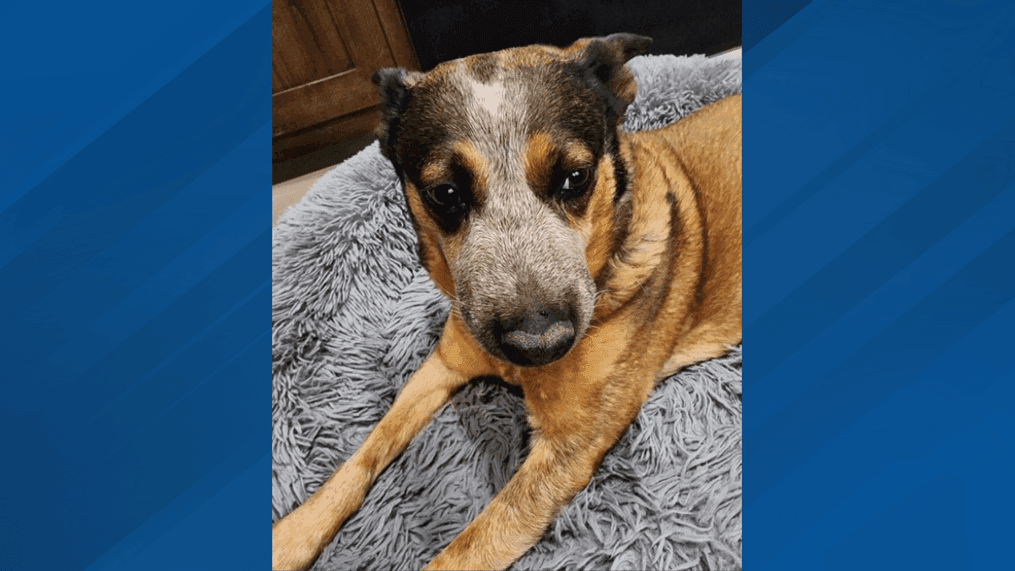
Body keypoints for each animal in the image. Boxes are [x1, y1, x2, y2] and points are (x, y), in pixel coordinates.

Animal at [274, 33, 742, 567]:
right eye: (444, 192)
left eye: (575, 177)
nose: (540, 342)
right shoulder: (444, 362)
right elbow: (368, 448)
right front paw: (292, 535)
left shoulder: (566, 448)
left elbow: (464, 549)